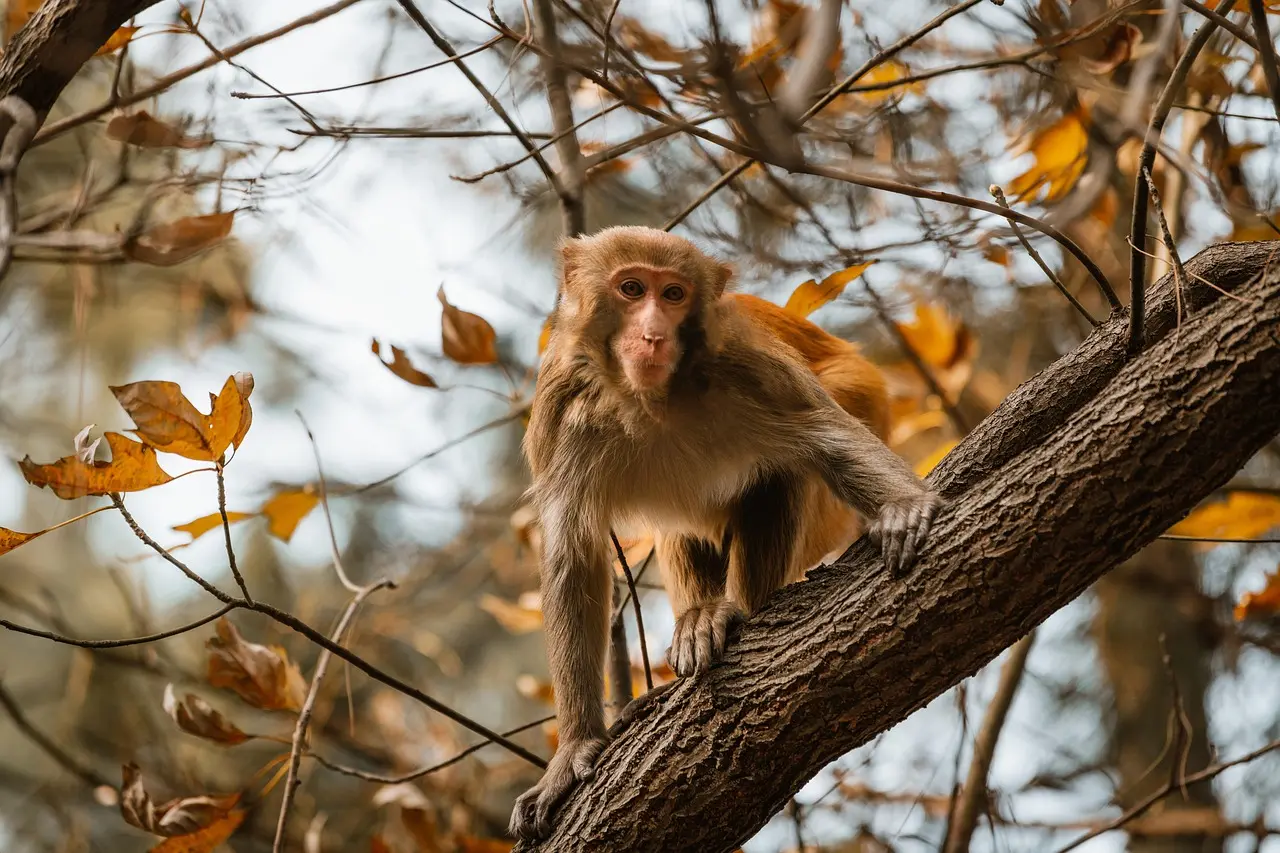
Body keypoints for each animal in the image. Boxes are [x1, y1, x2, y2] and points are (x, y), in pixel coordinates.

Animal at [510, 226, 939, 841]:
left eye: (673, 295)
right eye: (631, 288)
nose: (652, 333)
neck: (653, 400)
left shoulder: (746, 365)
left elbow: (823, 435)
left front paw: (903, 506)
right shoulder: (563, 402)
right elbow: (573, 555)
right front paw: (573, 751)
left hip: (861, 406)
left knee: (782, 468)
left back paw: (733, 610)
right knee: (684, 527)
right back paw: (697, 622)